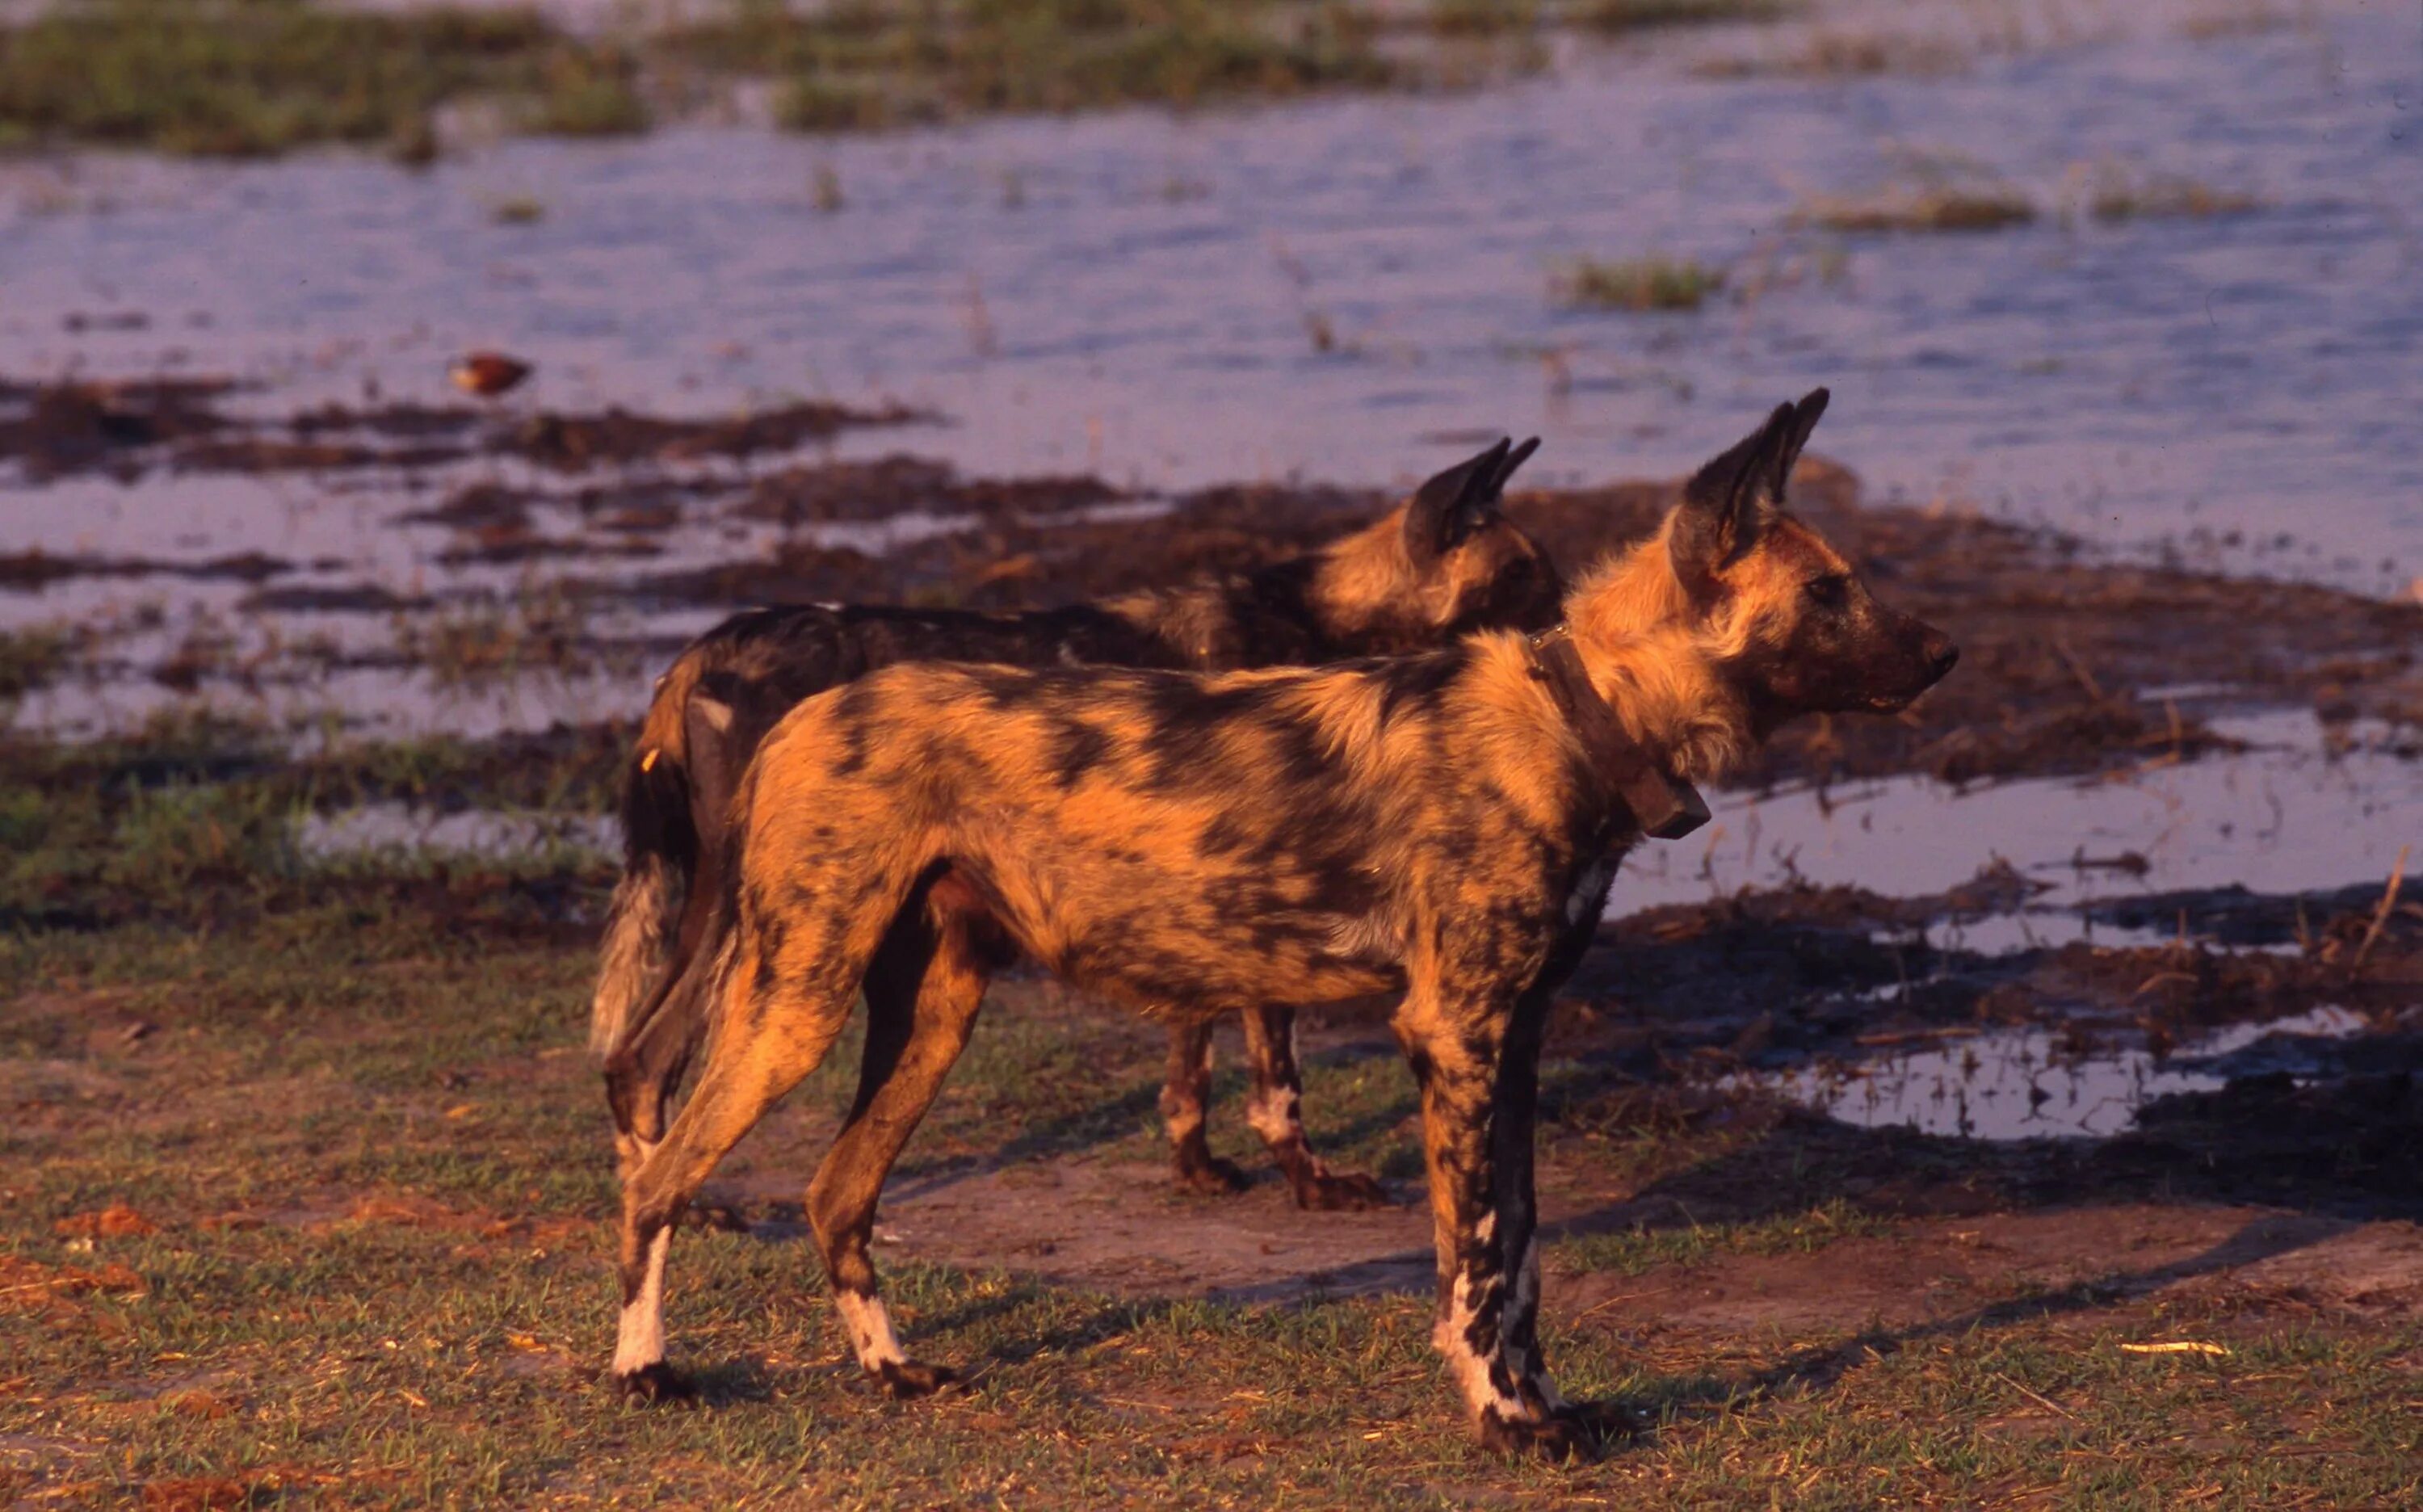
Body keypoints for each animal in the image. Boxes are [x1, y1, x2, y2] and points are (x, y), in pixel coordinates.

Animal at [596, 441, 1560, 1216]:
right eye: (1523, 581)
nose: (1565, 649)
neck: (1329, 623)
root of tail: (704, 650)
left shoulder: (1204, 900)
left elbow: (1189, 1066)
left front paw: (1196, 1169)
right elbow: (1278, 1087)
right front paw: (1312, 1185)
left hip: (732, 904)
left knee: (636, 1059)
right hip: (769, 918)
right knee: (653, 1058)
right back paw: (681, 1210)